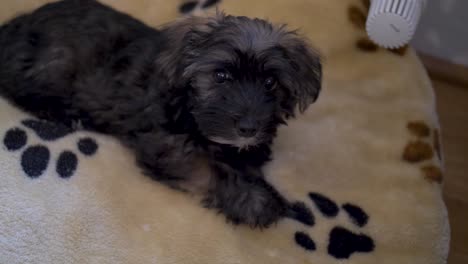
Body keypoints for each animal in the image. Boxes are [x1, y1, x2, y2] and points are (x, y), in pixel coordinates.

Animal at [0, 0, 320, 227]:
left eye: (270, 82)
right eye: (221, 76)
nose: (249, 128)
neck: (188, 104)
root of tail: (15, 26)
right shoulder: (166, 146)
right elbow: (209, 169)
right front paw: (257, 201)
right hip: (56, 61)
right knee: (17, 86)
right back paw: (63, 113)